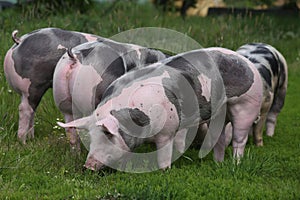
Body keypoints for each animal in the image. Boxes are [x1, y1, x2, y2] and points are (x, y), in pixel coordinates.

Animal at [56, 47, 262, 170]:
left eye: (108, 135)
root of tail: (246, 61)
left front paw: (164, 170)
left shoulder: (167, 130)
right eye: (91, 137)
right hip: (220, 112)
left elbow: (164, 152)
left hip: (247, 104)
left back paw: (235, 163)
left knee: (239, 138)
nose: (88, 166)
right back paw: (218, 164)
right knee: (219, 138)